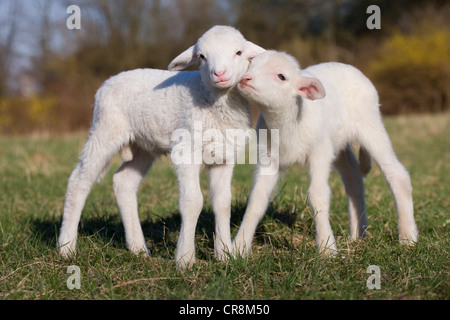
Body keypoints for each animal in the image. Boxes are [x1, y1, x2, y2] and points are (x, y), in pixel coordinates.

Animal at [57, 26, 266, 268]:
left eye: (239, 52)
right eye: (202, 57)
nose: (220, 74)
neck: (213, 99)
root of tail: (108, 81)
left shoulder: (224, 155)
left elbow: (223, 203)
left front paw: (225, 255)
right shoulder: (186, 150)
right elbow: (193, 201)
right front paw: (185, 259)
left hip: (142, 146)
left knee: (123, 182)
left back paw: (138, 248)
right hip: (105, 129)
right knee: (79, 181)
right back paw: (66, 247)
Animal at [234, 50, 420, 255]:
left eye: (281, 76)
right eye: (250, 65)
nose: (245, 78)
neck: (287, 122)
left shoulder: (320, 151)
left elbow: (318, 194)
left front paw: (327, 248)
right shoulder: (268, 157)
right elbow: (256, 200)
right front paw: (238, 248)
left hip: (370, 125)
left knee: (397, 174)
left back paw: (408, 237)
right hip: (338, 144)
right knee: (354, 178)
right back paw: (358, 235)